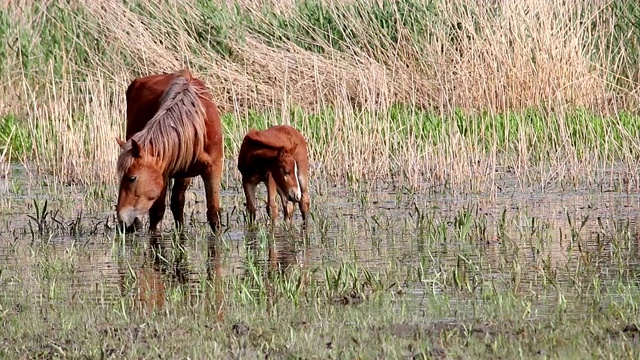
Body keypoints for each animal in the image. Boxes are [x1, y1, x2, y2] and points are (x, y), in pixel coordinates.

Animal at [116, 69, 224, 233]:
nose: (123, 222)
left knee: (177, 203)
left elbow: (213, 214)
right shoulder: (163, 174)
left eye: (132, 178)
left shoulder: (213, 170)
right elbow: (156, 215)